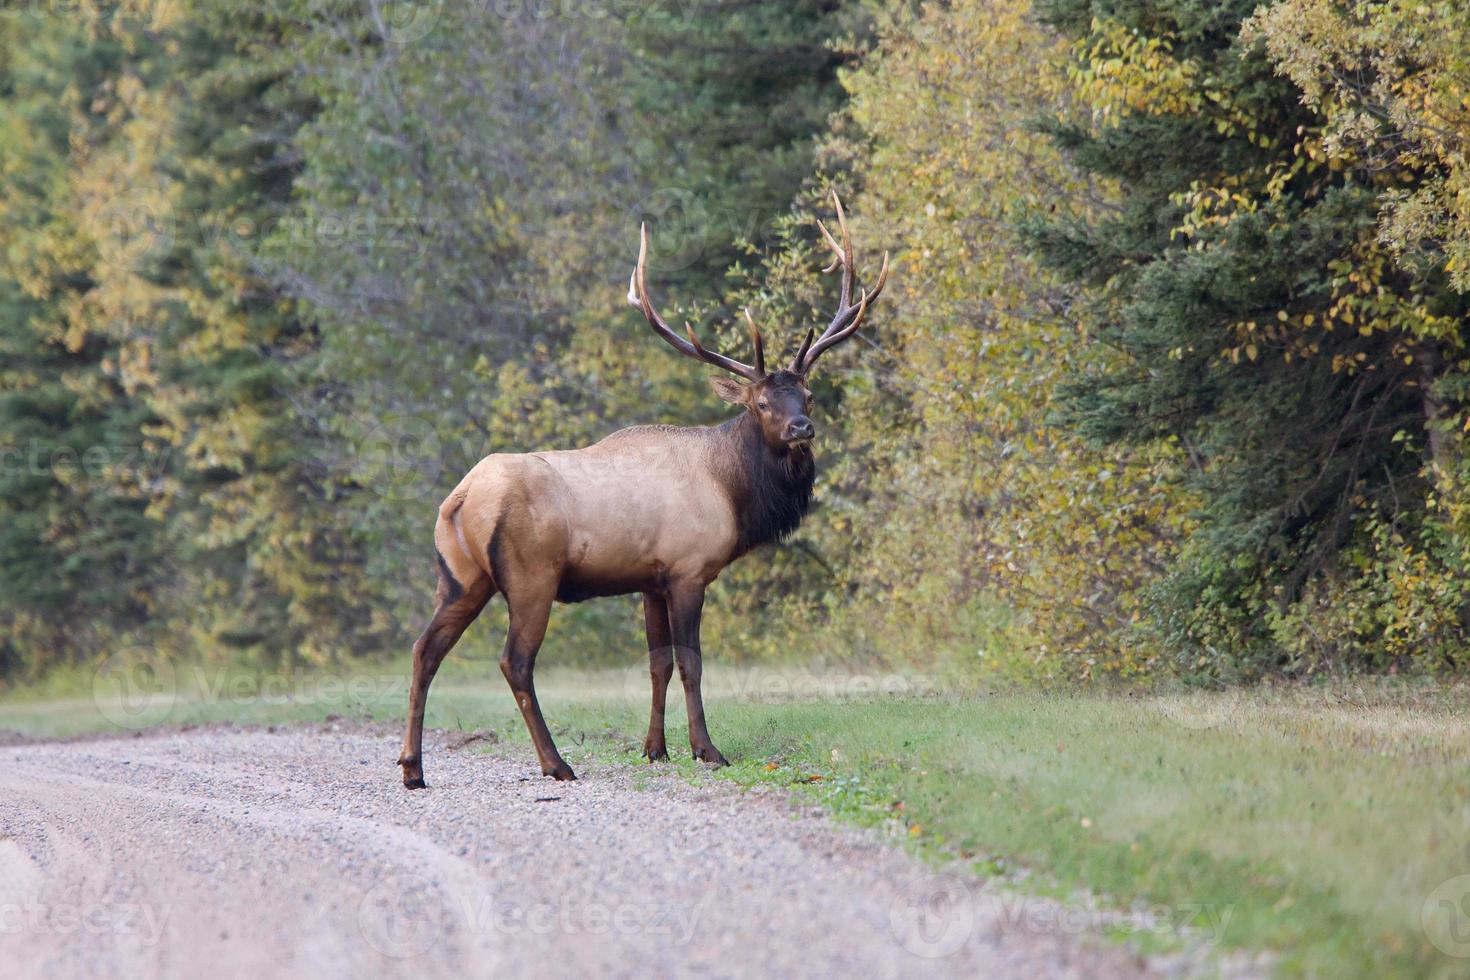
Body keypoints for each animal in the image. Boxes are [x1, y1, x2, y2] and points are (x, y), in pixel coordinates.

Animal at [396, 193, 887, 787]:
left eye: (808, 395)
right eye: (761, 403)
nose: (801, 428)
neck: (734, 493)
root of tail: (460, 498)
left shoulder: (650, 580)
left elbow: (657, 665)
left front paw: (655, 748)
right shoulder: (688, 568)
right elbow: (690, 663)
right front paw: (707, 749)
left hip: (460, 577)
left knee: (425, 649)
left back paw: (412, 767)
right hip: (531, 575)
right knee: (515, 661)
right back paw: (555, 763)